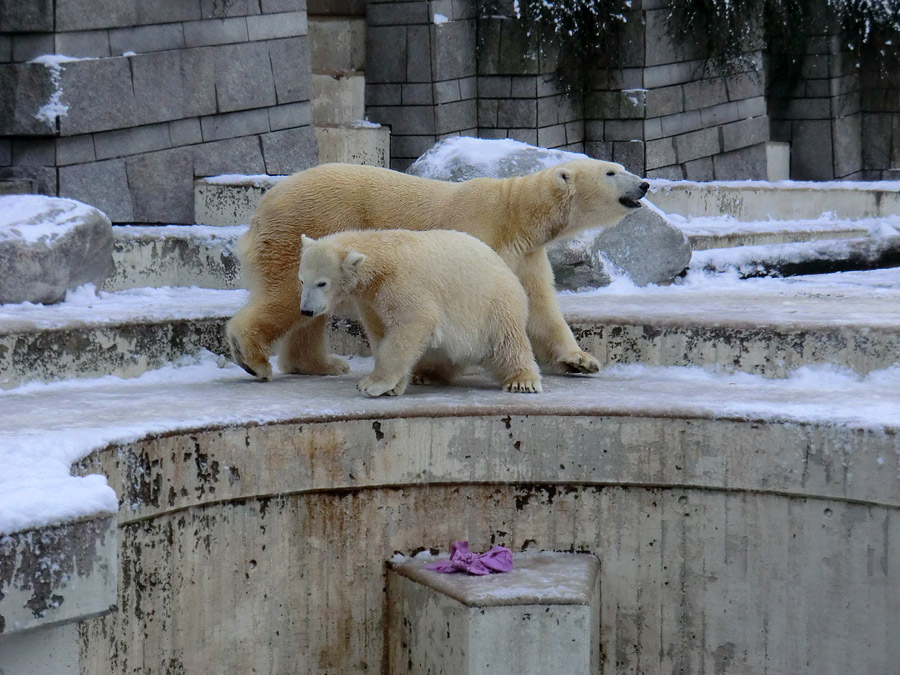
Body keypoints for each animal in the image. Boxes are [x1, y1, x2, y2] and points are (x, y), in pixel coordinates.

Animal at [225, 157, 648, 380]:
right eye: (611, 172)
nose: (644, 184)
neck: (514, 213)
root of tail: (263, 205)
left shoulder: (526, 255)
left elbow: (540, 305)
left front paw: (580, 359)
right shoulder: (478, 233)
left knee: (309, 311)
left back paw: (321, 364)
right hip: (306, 225)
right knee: (286, 295)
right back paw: (253, 360)